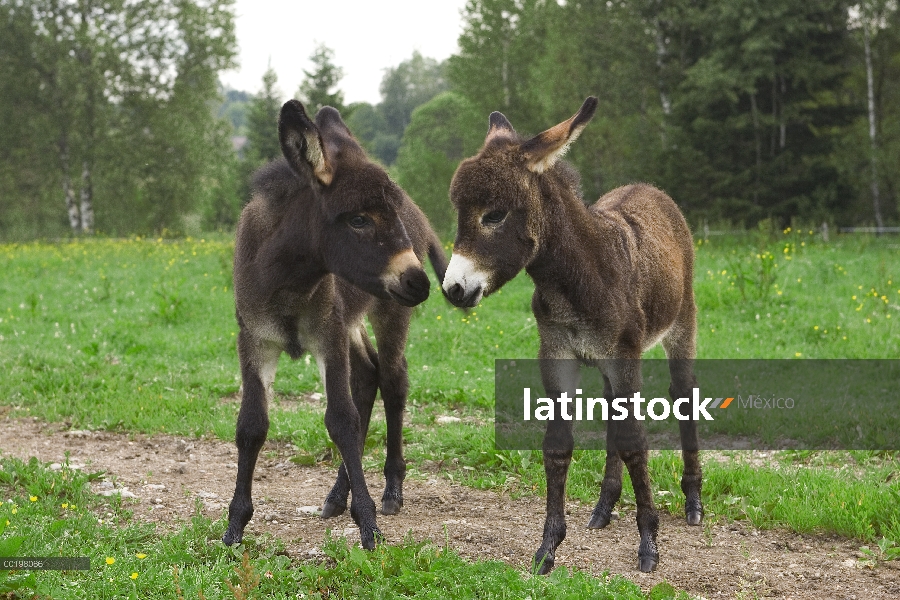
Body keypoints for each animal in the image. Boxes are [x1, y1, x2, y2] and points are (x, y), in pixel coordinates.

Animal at [223, 101, 448, 552]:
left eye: (390, 214)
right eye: (359, 220)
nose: (418, 282)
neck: (288, 276)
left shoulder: (328, 336)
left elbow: (341, 421)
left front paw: (369, 526)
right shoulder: (256, 341)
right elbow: (252, 425)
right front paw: (235, 526)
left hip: (387, 313)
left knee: (392, 380)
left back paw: (391, 490)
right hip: (351, 325)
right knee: (367, 377)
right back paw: (335, 496)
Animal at [442, 97, 704, 572]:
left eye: (494, 215)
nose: (453, 289)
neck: (574, 280)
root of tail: (647, 187)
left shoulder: (624, 355)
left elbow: (635, 443)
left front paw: (649, 545)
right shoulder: (557, 352)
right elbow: (558, 445)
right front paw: (547, 547)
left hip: (681, 324)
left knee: (683, 394)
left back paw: (693, 500)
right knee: (614, 414)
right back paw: (604, 506)